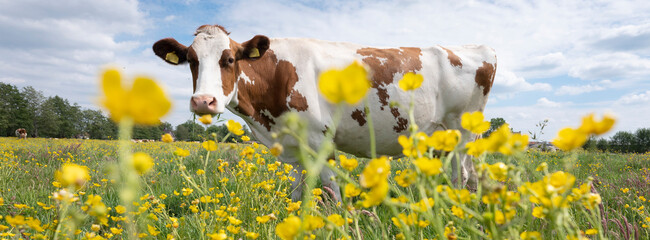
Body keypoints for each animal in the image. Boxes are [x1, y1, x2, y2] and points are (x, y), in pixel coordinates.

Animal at [153, 24, 496, 202]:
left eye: (228, 60)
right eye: (192, 60)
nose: (203, 101)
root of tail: (479, 48)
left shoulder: (321, 140)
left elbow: (331, 191)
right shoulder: (292, 148)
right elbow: (296, 192)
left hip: (460, 130)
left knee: (462, 175)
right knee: (470, 174)